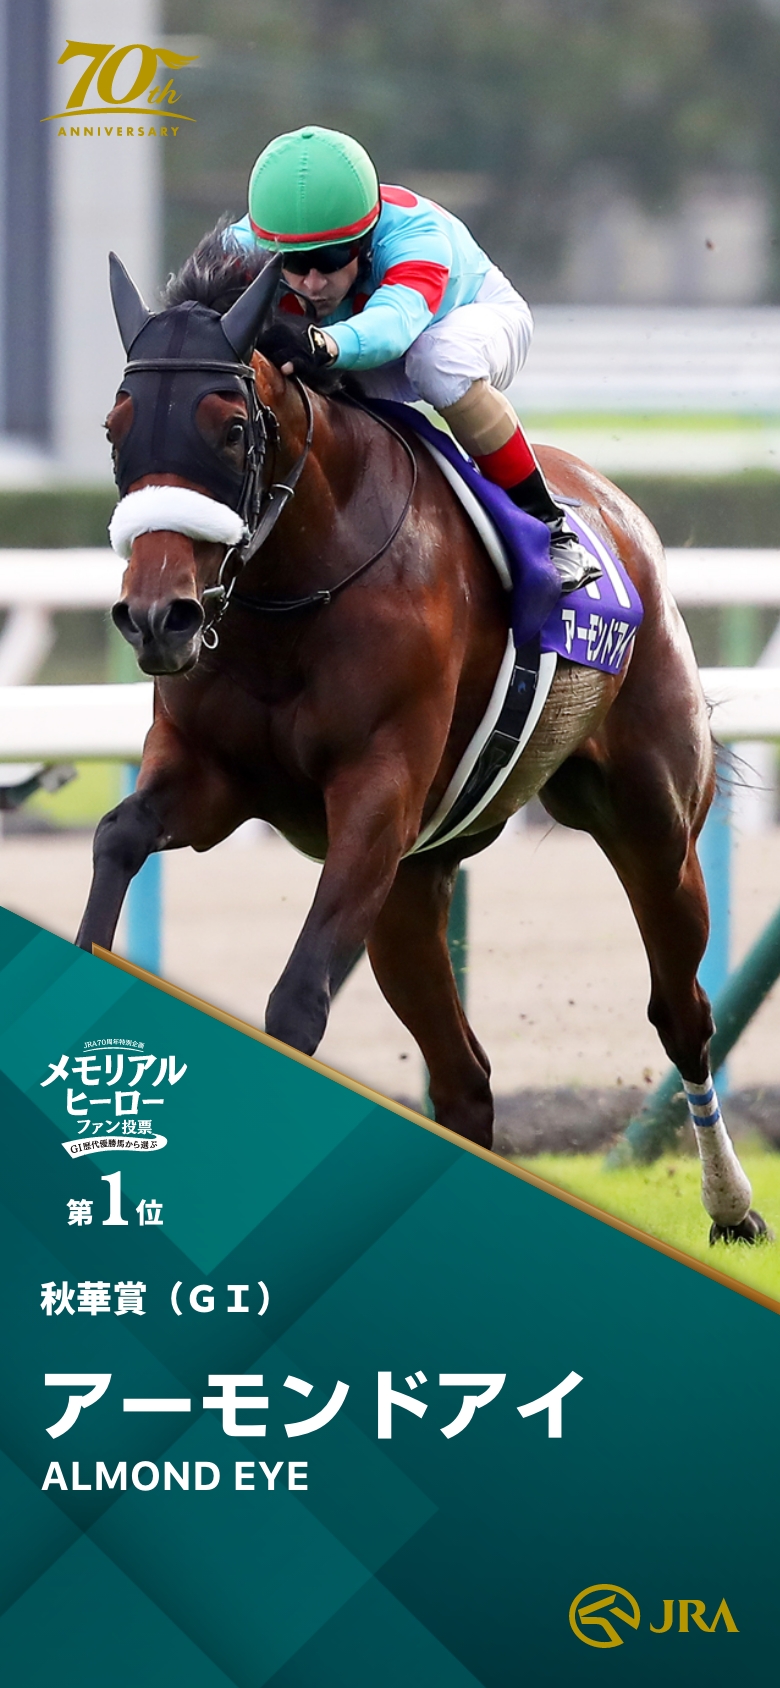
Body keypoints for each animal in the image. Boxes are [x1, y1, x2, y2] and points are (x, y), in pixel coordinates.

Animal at [76, 229, 766, 1245]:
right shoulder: (210, 776)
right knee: (465, 1079)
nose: (158, 617)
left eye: (230, 428)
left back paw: (732, 1207)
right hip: (409, 891)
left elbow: (298, 1000)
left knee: (682, 1015)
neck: (294, 589)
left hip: (654, 829)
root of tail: (615, 509)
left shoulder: (377, 795)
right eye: (116, 428)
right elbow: (118, 835)